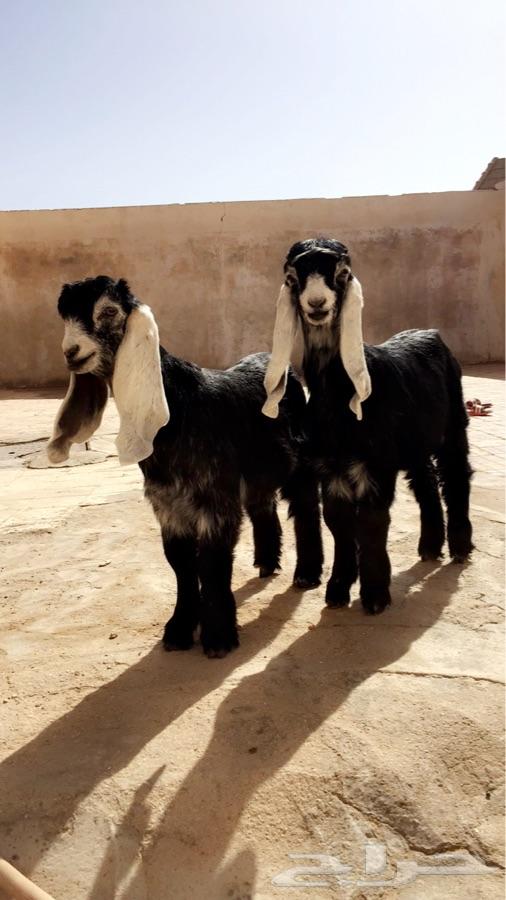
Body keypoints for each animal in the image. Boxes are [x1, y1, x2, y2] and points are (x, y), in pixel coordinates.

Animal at [47, 276, 323, 656]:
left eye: (108, 311)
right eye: (65, 318)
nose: (71, 352)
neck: (179, 407)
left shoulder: (214, 498)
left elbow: (211, 562)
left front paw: (218, 635)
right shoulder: (168, 505)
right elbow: (179, 562)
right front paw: (179, 629)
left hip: (299, 459)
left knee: (306, 507)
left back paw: (308, 574)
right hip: (257, 470)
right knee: (262, 506)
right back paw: (267, 562)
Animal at [262, 237, 473, 615]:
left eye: (343, 274)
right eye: (292, 278)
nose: (317, 304)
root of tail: (431, 332)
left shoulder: (375, 465)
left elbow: (372, 522)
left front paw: (375, 595)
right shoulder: (331, 468)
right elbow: (339, 523)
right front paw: (338, 589)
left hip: (453, 424)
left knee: (456, 475)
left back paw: (460, 548)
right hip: (414, 440)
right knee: (426, 482)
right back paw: (430, 547)